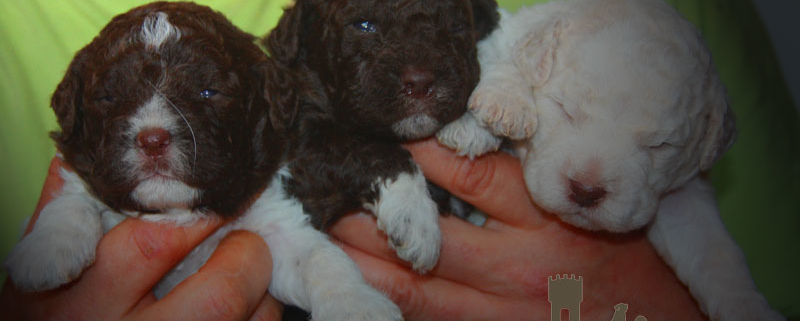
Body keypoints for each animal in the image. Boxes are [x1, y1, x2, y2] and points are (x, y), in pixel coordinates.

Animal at [438, 0, 780, 318]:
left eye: (660, 145)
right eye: (565, 109)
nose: (585, 191)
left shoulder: (684, 195)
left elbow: (712, 248)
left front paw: (748, 307)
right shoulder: (512, 30)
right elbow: (503, 51)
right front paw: (500, 105)